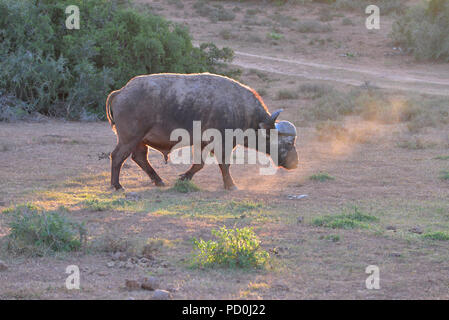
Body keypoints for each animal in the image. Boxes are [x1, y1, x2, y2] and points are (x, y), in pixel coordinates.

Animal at [106, 72, 298, 190]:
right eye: (288, 143)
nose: (295, 163)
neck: (241, 108)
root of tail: (121, 91)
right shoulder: (223, 143)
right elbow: (224, 164)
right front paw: (231, 185)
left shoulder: (202, 143)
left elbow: (199, 164)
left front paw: (185, 177)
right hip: (129, 138)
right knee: (117, 156)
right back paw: (117, 185)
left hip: (139, 140)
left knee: (139, 157)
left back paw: (158, 180)